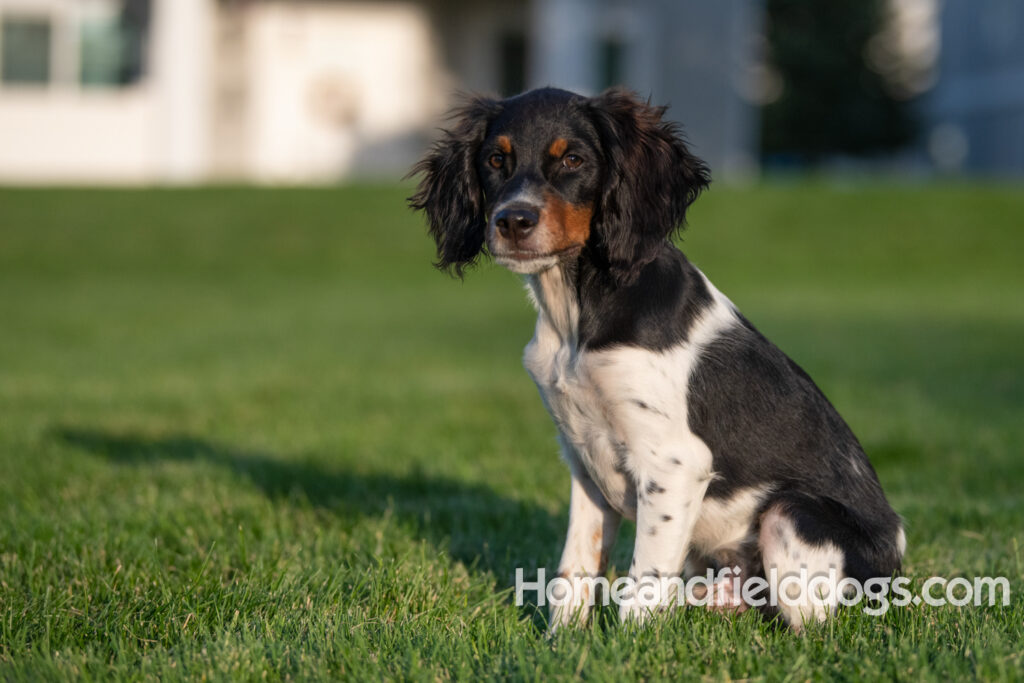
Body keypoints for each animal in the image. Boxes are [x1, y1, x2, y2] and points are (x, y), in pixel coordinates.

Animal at [407, 88, 905, 634]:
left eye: (574, 160)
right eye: (496, 160)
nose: (513, 221)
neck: (576, 317)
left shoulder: (675, 463)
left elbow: (643, 579)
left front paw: (628, 645)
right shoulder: (582, 462)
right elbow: (574, 569)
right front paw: (563, 641)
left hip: (791, 513)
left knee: (813, 624)